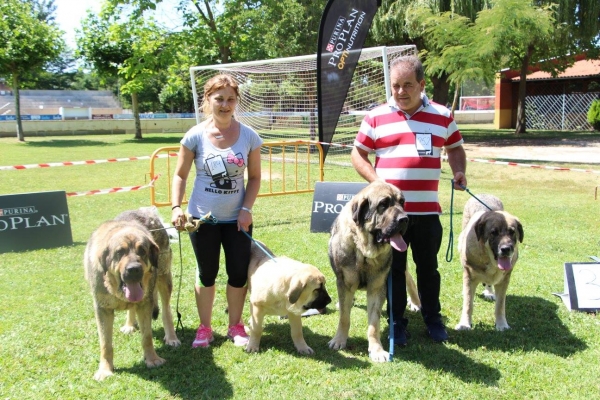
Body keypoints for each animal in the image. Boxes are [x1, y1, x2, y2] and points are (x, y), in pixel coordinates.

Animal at [328, 180, 408, 360]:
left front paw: (376, 350)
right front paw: (339, 340)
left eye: (402, 202)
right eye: (383, 204)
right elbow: (344, 316)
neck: (364, 251)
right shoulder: (344, 284)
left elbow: (374, 323)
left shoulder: (377, 288)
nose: (405, 219)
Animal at [458, 195, 524, 332]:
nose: (506, 249)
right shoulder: (469, 276)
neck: (489, 259)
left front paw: (501, 325)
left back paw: (489, 292)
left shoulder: (504, 281)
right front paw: (465, 324)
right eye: (494, 232)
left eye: (512, 232)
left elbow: (500, 305)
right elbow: (468, 303)